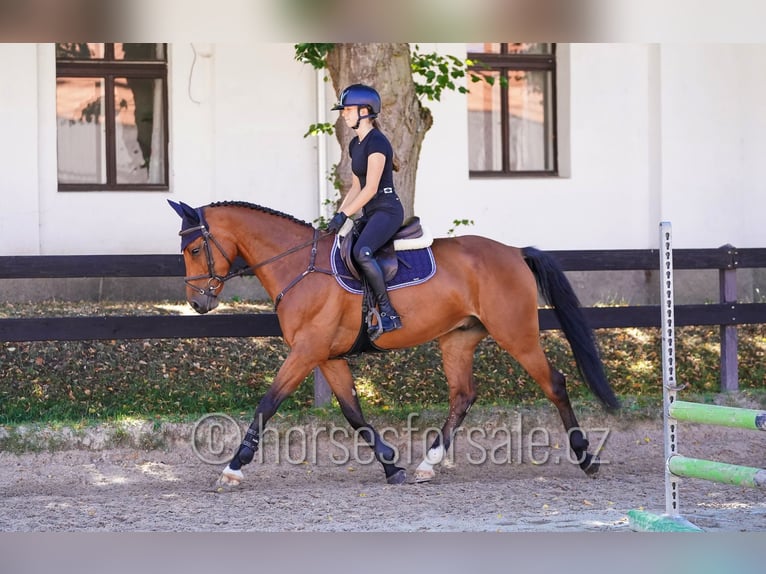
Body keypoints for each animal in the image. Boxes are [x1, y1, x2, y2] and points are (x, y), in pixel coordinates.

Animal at [168, 199, 619, 486]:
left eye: (195, 249)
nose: (197, 302)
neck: (299, 266)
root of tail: (513, 251)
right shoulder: (326, 357)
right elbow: (353, 413)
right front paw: (391, 466)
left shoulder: (306, 352)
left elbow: (267, 404)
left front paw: (233, 468)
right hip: (458, 340)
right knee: (462, 395)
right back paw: (426, 464)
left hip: (517, 335)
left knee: (554, 383)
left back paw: (587, 459)